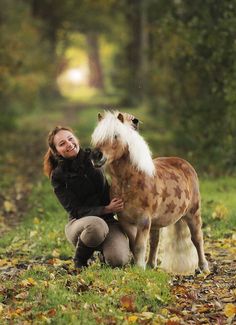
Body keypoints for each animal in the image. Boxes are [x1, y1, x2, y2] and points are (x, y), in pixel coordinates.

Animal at [91, 111, 209, 274]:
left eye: (115, 135)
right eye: (96, 136)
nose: (96, 156)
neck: (128, 183)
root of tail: (185, 164)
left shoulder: (144, 220)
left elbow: (140, 245)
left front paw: (139, 268)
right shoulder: (126, 220)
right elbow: (134, 244)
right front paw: (138, 266)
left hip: (193, 213)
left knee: (197, 239)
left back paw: (203, 267)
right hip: (157, 222)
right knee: (155, 241)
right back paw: (151, 264)